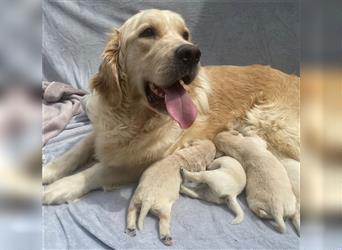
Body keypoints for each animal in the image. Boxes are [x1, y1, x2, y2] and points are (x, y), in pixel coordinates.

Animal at [42, 9, 300, 209]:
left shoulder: (142, 161)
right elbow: (76, 149)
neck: (132, 116)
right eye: (147, 32)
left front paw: (61, 187)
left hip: (269, 124)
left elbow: (98, 170)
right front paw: (49, 171)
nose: (192, 53)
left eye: (185, 34)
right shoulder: (102, 131)